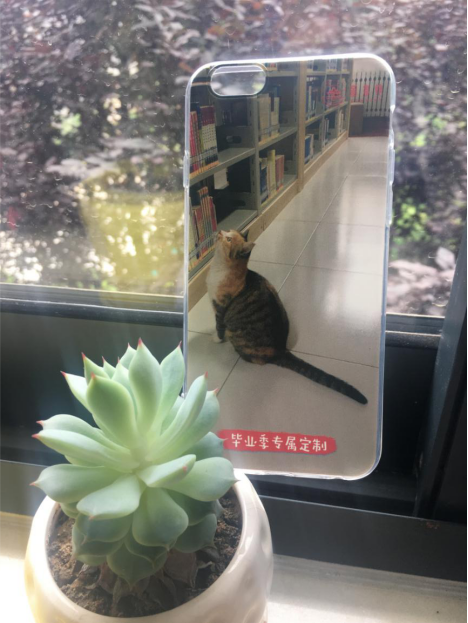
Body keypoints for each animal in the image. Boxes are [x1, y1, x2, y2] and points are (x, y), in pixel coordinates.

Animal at [206, 229, 368, 405]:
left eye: (229, 239)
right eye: (228, 231)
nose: (220, 231)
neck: (219, 268)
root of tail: (281, 349)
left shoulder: (219, 307)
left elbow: (219, 326)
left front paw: (216, 338)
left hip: (238, 338)